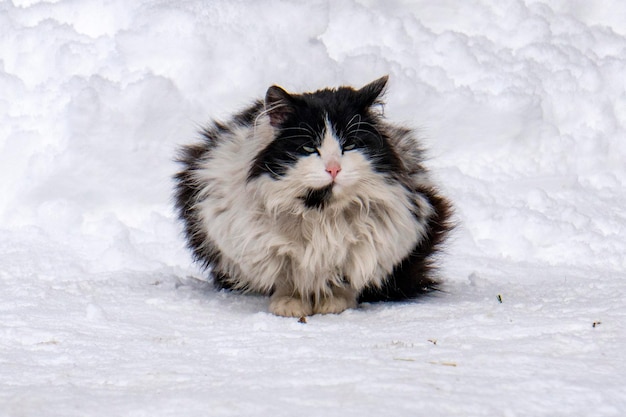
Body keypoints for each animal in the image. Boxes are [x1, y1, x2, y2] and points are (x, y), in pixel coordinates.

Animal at [173, 75, 450, 316]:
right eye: (308, 148)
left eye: (349, 145)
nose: (334, 168)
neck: (321, 211)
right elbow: (287, 276)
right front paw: (289, 304)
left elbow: (345, 275)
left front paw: (333, 302)